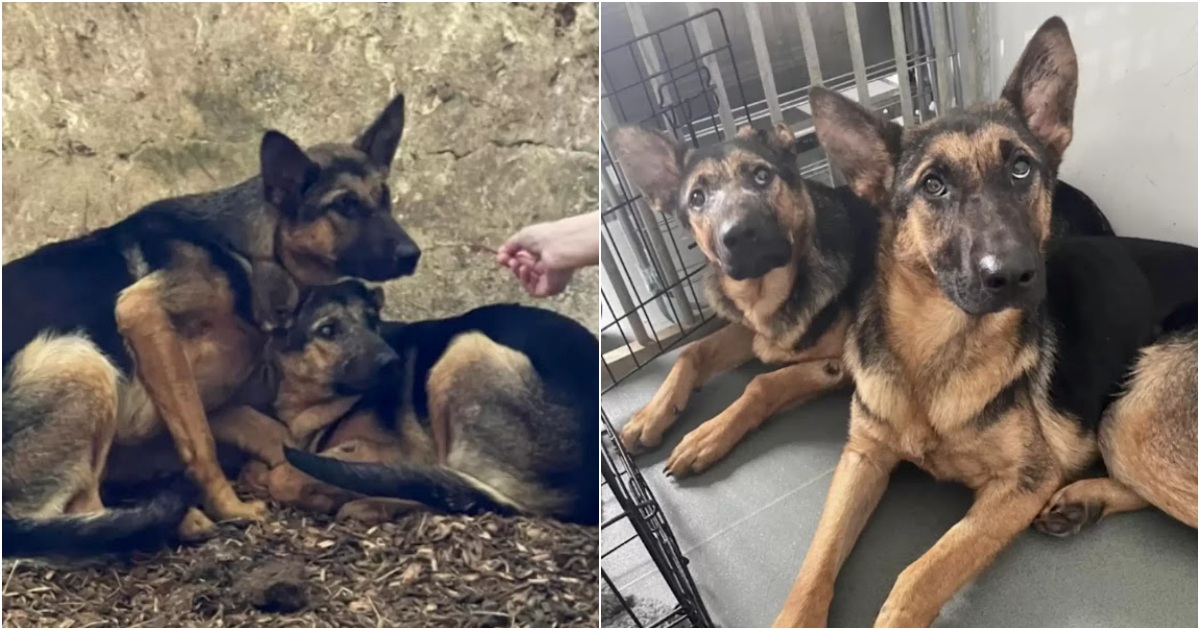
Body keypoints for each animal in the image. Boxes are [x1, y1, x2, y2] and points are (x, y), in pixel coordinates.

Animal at [2, 90, 422, 552]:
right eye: (345, 205)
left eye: (385, 198)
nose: (412, 255)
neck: (249, 255)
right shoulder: (142, 313)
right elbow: (201, 438)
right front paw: (231, 507)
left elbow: (271, 433)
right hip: (81, 359)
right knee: (82, 506)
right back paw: (176, 520)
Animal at [609, 114, 1113, 477]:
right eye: (697, 198)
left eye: (761, 176)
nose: (741, 235)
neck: (779, 285)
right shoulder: (757, 330)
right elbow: (691, 351)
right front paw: (652, 415)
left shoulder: (842, 365)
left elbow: (761, 383)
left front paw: (705, 435)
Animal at [772, 17, 1195, 624]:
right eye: (933, 185)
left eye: (1020, 168)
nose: (1015, 274)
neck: (935, 354)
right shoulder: (863, 455)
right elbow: (814, 564)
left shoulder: (1020, 485)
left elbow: (916, 578)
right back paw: (1082, 501)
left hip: (1131, 417)